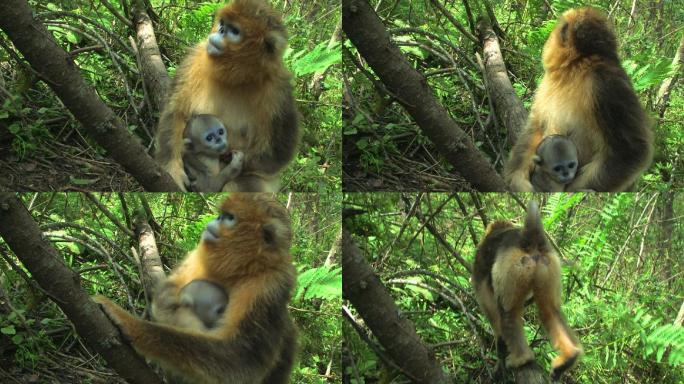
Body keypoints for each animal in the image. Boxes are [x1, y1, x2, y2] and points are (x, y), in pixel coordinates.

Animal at [156, 0, 300, 192]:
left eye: (234, 31)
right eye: (223, 24)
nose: (221, 30)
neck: (235, 78)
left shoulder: (279, 92)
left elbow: (276, 155)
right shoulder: (197, 56)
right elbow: (175, 113)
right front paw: (173, 169)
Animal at [508, 7, 652, 190]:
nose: (549, 37)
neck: (577, 66)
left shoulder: (606, 83)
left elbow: (632, 151)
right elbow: (537, 126)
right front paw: (517, 180)